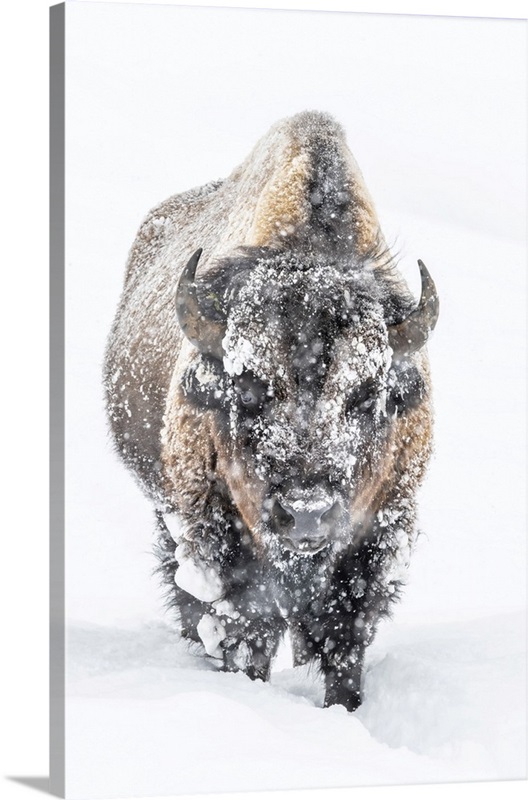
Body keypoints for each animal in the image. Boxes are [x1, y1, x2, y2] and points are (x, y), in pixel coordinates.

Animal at [104, 111, 439, 711]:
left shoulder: (377, 535)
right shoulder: (219, 535)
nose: (306, 513)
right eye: (248, 388)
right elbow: (246, 629)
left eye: (366, 395)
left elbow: (345, 638)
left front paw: (345, 709)